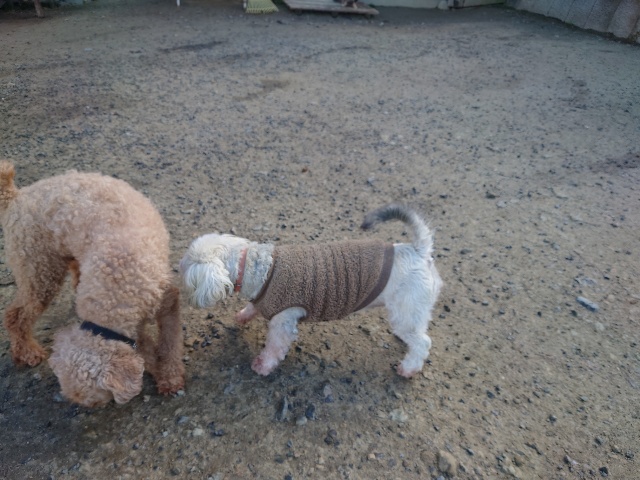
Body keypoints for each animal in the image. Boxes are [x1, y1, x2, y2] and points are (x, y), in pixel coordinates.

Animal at [0, 161, 185, 407]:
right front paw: (156, 369)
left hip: (43, 269)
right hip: (40, 265)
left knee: (17, 313)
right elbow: (145, 349)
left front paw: (170, 377)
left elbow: (170, 343)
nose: (93, 409)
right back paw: (25, 350)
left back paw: (28, 352)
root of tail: (15, 197)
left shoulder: (167, 301)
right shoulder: (131, 327)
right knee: (16, 314)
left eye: (96, 401)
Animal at [180, 204, 442, 378]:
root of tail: (419, 250)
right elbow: (252, 307)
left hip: (406, 311)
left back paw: (408, 368)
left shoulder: (283, 322)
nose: (175, 269)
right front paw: (244, 315)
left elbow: (274, 348)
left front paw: (263, 366)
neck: (259, 268)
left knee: (423, 342)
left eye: (186, 270)